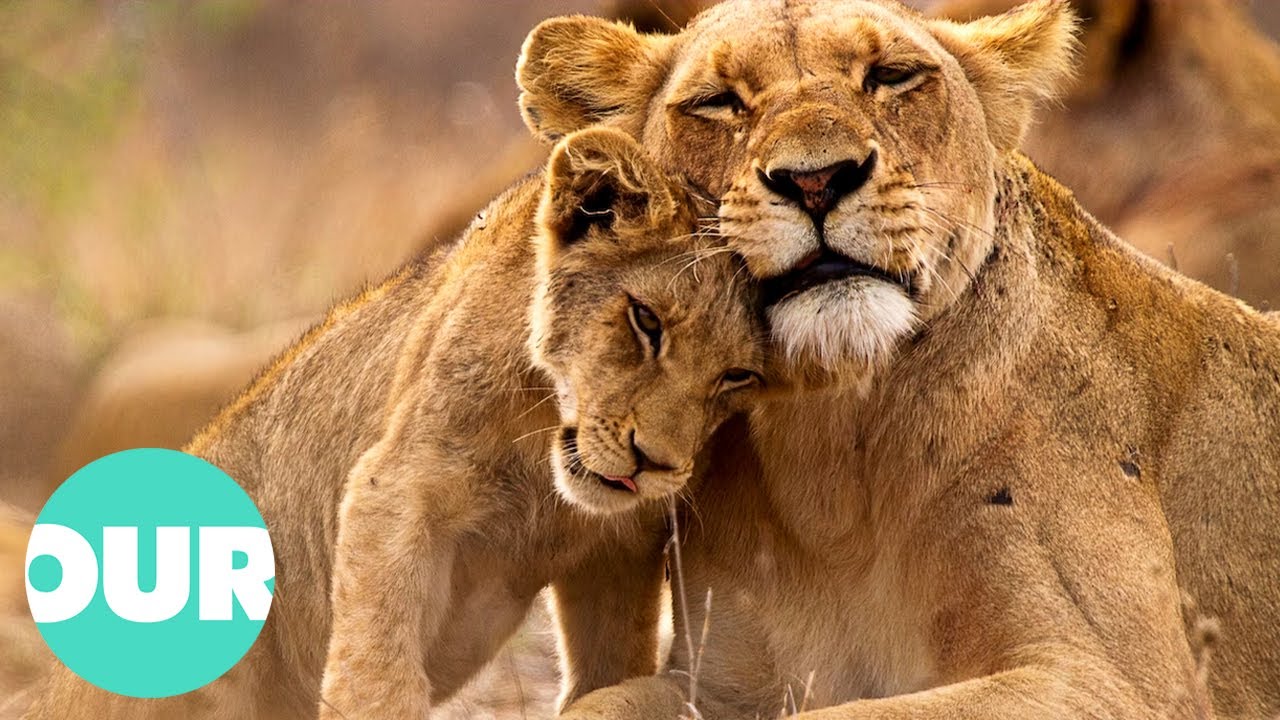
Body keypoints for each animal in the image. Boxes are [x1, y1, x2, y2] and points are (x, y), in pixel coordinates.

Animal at [23, 127, 765, 719]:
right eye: (646, 321)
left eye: (739, 377)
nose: (654, 464)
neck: (544, 456)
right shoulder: (397, 490)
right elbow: (377, 670)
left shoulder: (618, 550)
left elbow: (609, 669)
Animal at [508, 0, 1280, 717]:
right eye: (719, 100)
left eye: (891, 75)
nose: (816, 181)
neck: (833, 457)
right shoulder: (724, 683)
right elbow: (598, 703)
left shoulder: (1116, 681)